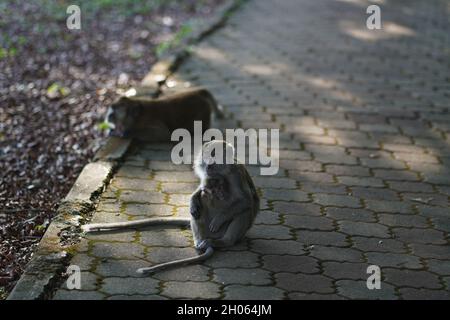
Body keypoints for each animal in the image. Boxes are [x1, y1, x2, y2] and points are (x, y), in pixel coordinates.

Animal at [82, 141, 258, 276]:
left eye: (215, 154)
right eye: (207, 155)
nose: (208, 164)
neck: (220, 173)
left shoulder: (235, 173)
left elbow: (246, 201)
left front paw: (220, 218)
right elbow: (200, 191)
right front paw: (193, 201)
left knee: (244, 211)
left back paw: (223, 241)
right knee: (202, 200)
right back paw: (200, 240)